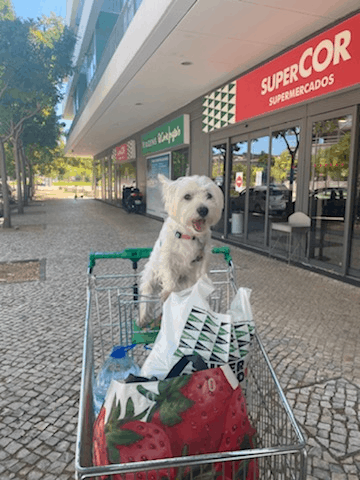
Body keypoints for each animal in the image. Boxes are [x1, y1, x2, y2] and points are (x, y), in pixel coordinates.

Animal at [137, 172, 222, 326]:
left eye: (209, 195)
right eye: (187, 196)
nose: (203, 210)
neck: (188, 235)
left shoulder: (204, 255)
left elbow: (202, 274)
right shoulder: (167, 257)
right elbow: (169, 278)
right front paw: (167, 293)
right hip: (150, 276)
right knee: (146, 297)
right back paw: (143, 317)